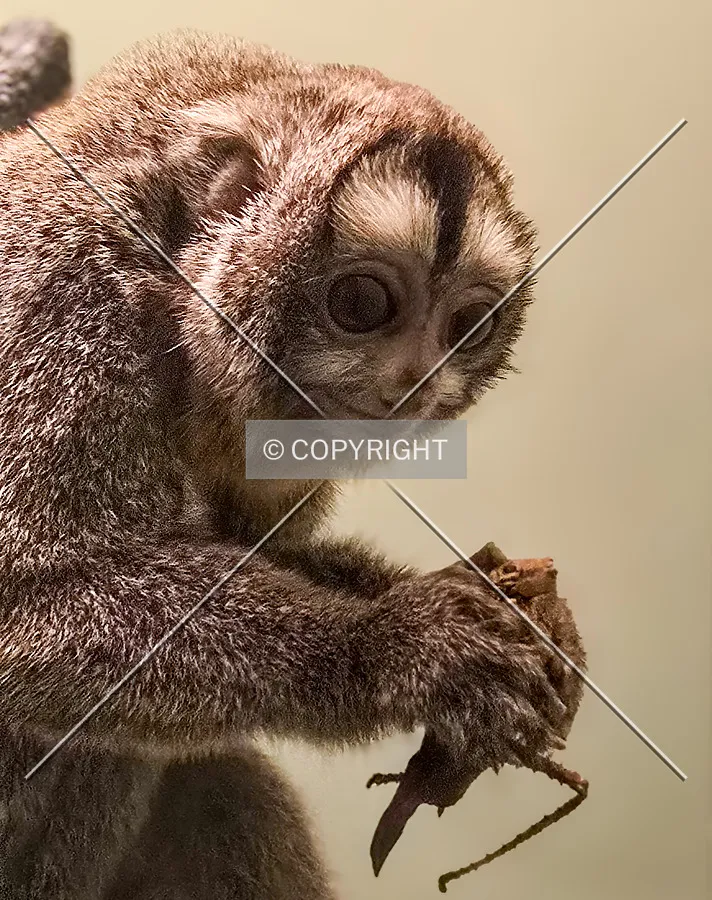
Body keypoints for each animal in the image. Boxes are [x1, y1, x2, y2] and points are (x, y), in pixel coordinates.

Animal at [0, 28, 585, 899]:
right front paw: (393, 648)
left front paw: (491, 601)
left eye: (468, 326)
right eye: (362, 304)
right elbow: (29, 608)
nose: (418, 380)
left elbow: (259, 552)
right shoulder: (56, 301)